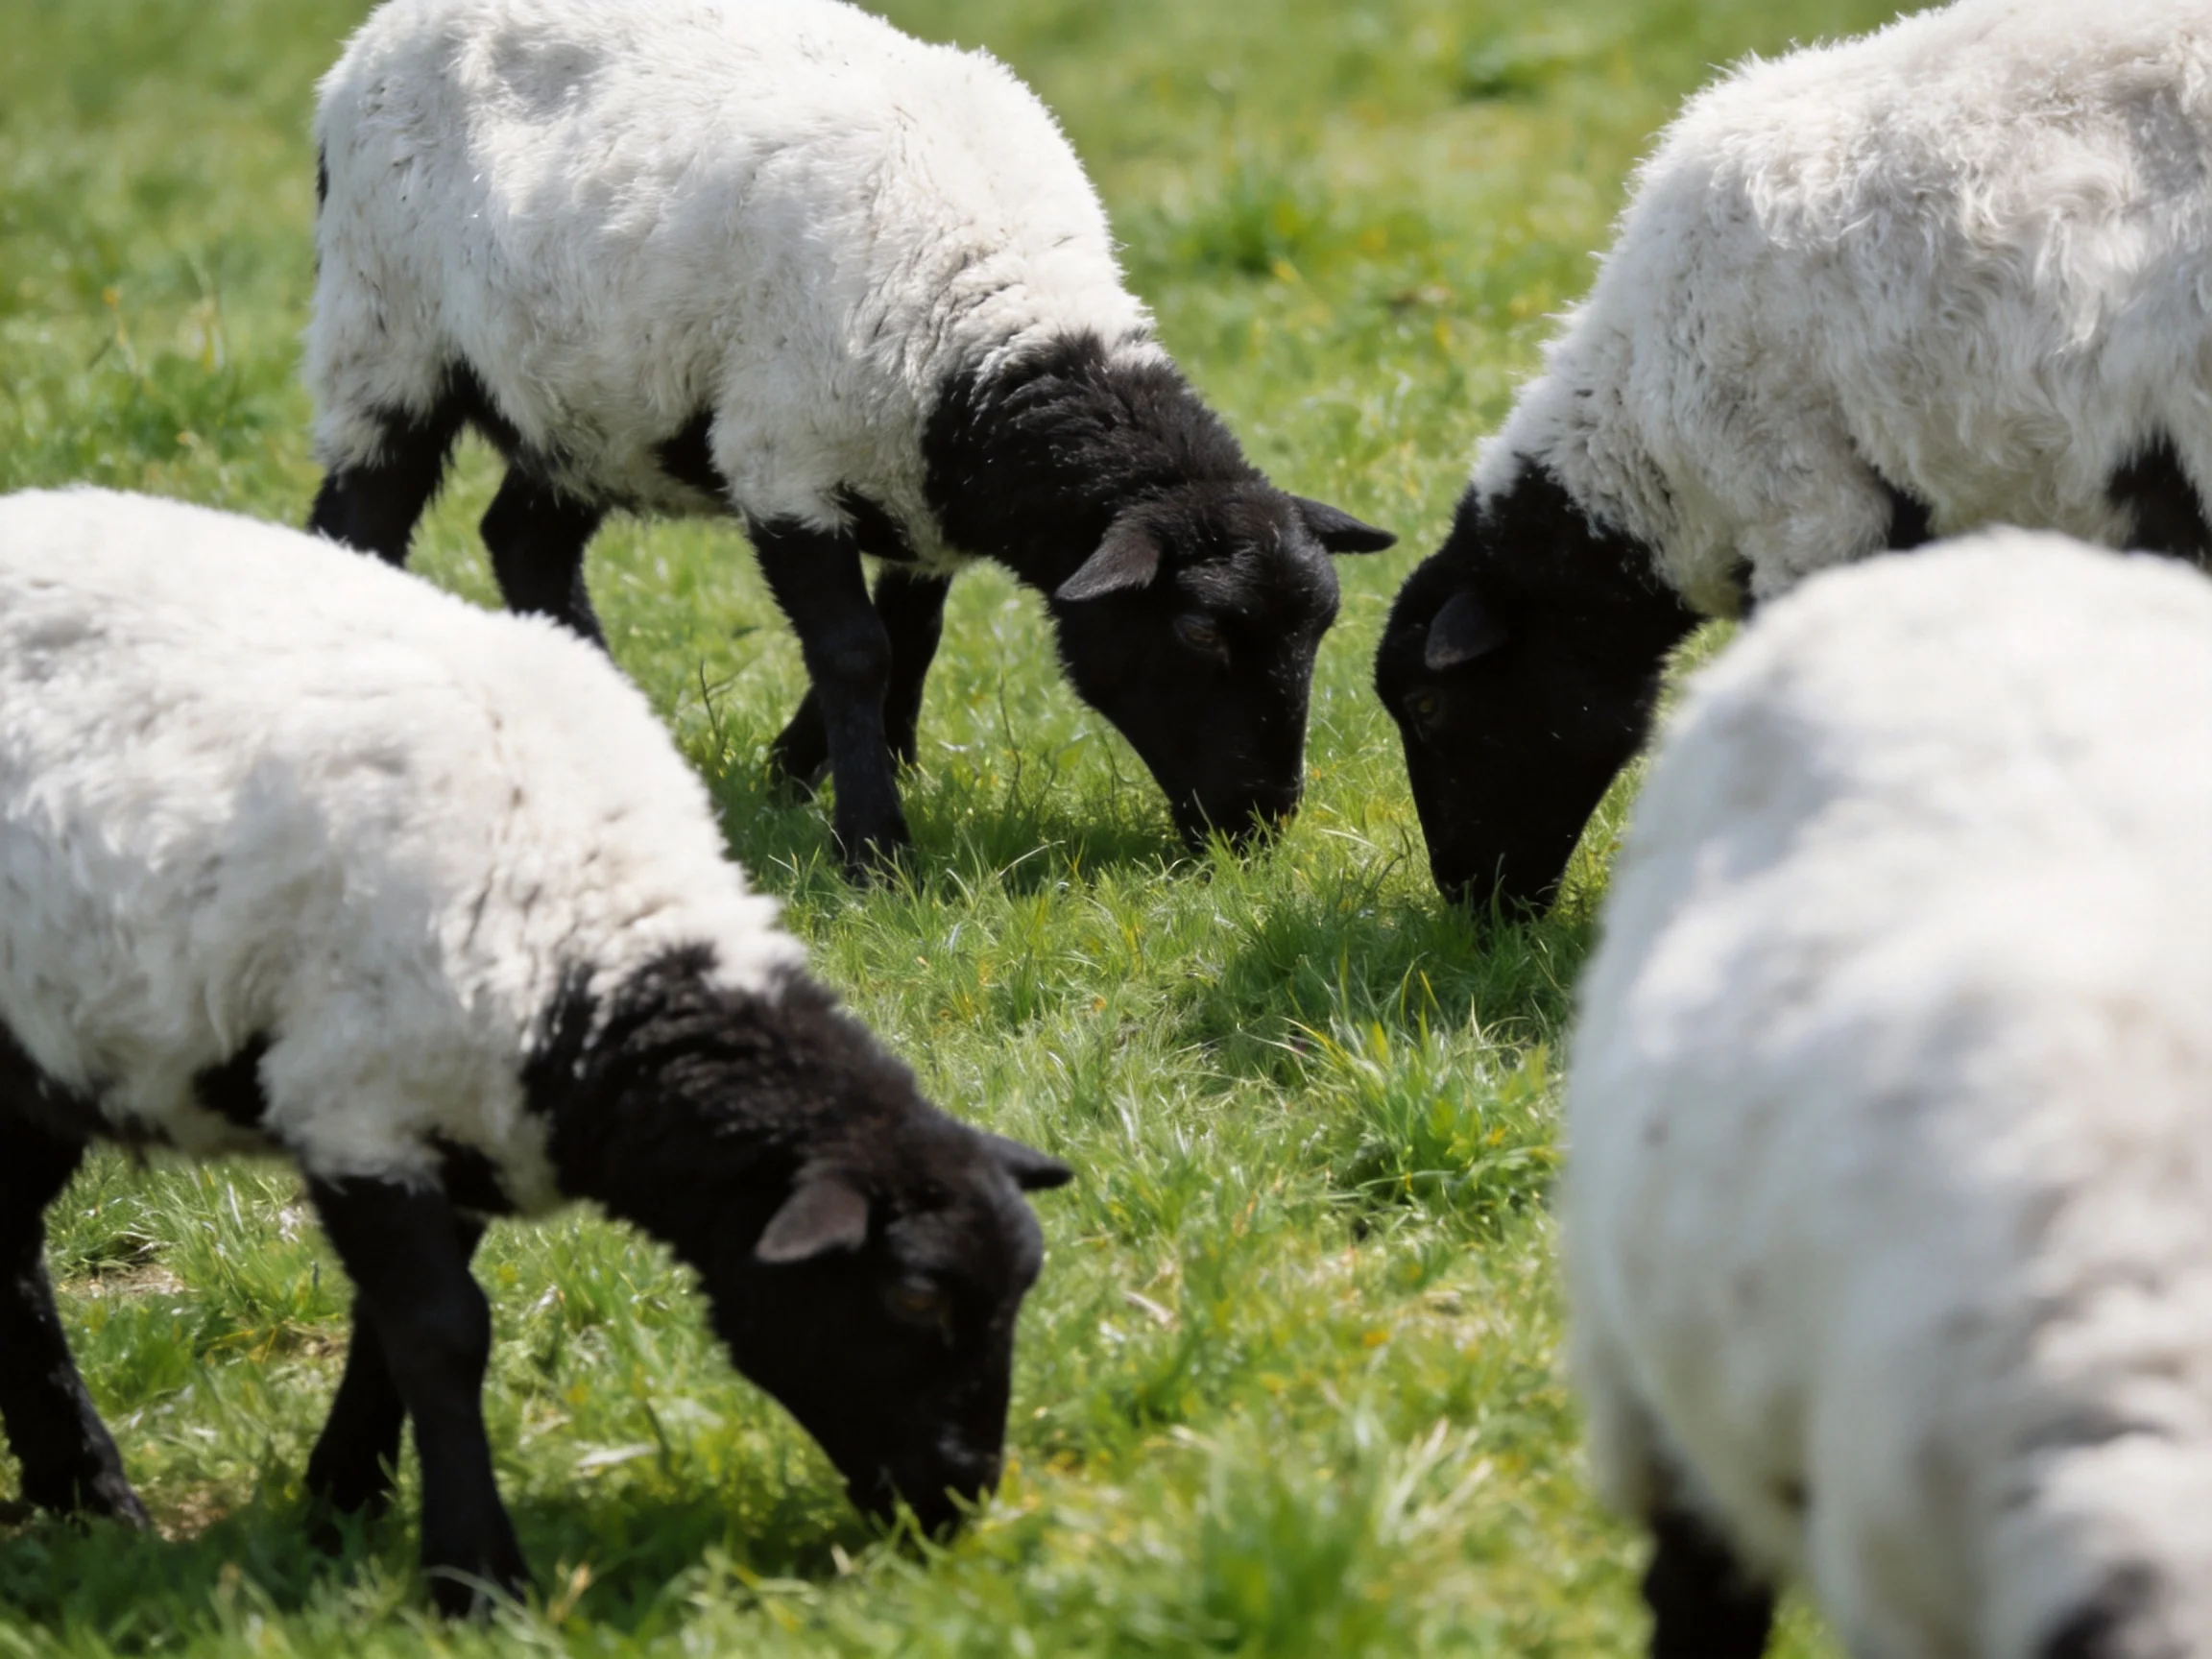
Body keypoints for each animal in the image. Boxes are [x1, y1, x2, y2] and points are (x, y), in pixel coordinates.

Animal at [0, 487, 1073, 1614]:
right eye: (913, 1295)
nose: (957, 1503)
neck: (591, 967)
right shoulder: (356, 1105)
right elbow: (442, 1335)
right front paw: (474, 1574)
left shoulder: (464, 1120)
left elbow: (384, 1338)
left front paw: (341, 1505)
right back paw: (92, 1494)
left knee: (6, 1252)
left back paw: (85, 1502)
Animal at [303, 0, 1393, 881]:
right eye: (1200, 632)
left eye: (1321, 630)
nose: (1262, 822)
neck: (983, 346)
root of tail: (374, 37)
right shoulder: (785, 462)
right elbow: (856, 650)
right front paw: (871, 842)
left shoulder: (919, 500)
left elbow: (912, 637)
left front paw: (823, 769)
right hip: (381, 326)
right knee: (357, 522)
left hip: (584, 398)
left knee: (524, 540)